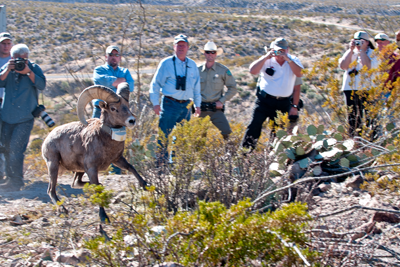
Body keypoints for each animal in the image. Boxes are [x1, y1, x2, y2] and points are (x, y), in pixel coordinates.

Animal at [41, 82, 148, 223]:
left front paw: (145, 185)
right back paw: (62, 209)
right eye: (113, 108)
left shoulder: (117, 160)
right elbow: (98, 193)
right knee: (51, 190)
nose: (131, 121)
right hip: (53, 166)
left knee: (76, 183)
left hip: (79, 170)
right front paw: (103, 217)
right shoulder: (92, 169)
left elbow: (131, 168)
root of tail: (47, 139)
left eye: (127, 105)